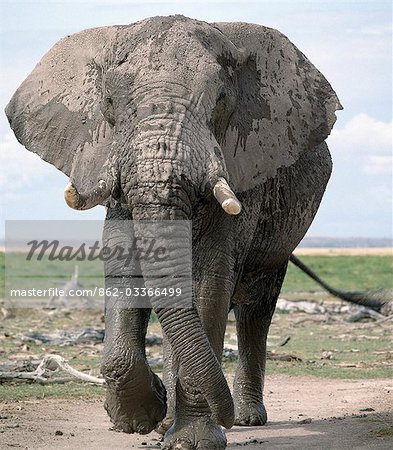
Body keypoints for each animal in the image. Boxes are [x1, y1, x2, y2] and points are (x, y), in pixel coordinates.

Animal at [4, 14, 340, 450]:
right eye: (109, 104)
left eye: (221, 102)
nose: (225, 416)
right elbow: (125, 268)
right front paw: (141, 418)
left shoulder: (240, 172)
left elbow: (208, 283)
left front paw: (194, 438)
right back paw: (173, 422)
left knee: (256, 308)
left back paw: (244, 418)